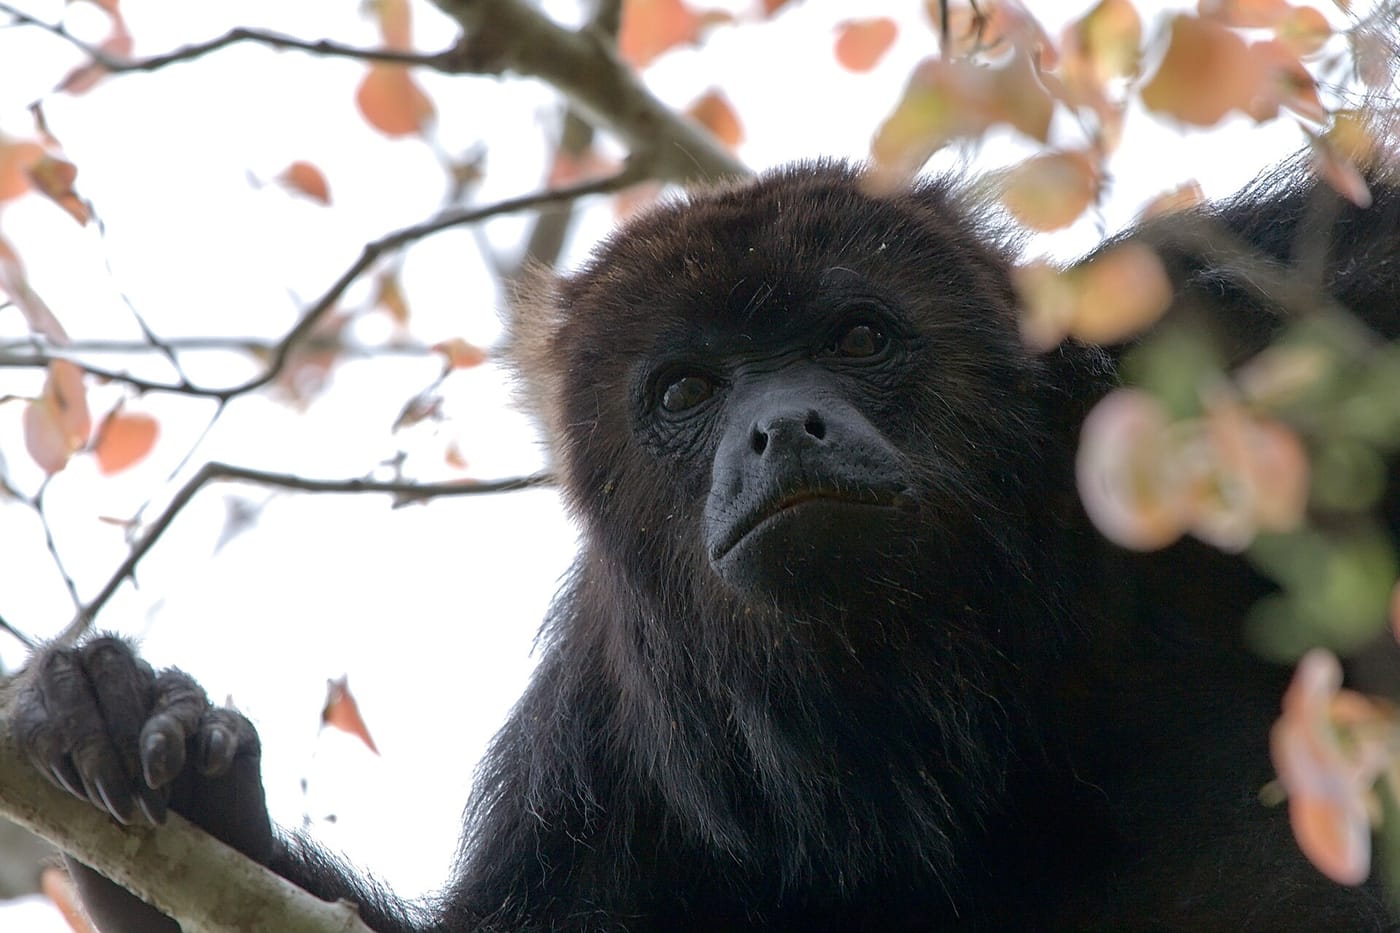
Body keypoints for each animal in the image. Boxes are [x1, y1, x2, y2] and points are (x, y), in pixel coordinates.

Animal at [10, 161, 1400, 930]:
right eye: (683, 392)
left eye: (856, 338)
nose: (779, 428)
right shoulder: (606, 757)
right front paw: (162, 752)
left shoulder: (1213, 317)